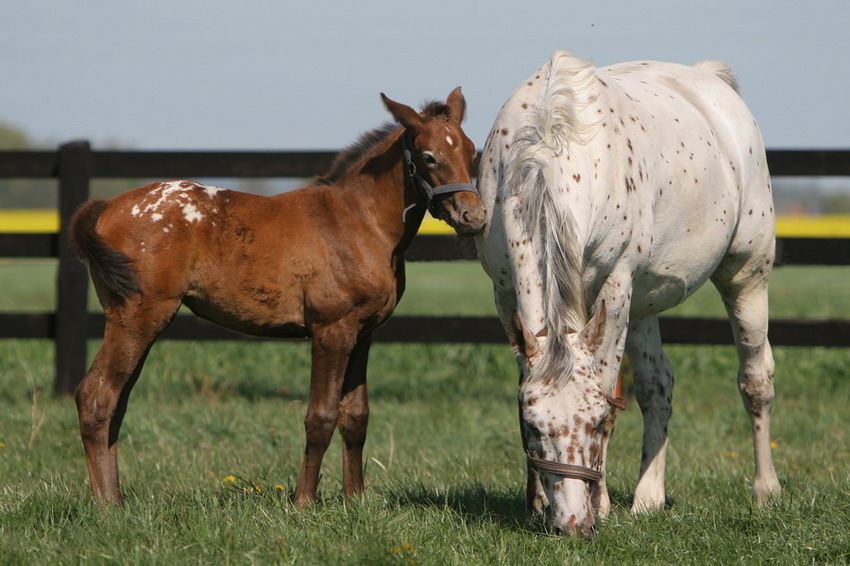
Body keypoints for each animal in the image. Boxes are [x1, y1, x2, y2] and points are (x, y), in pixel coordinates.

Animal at [71, 87, 484, 506]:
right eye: (429, 156)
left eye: (471, 152)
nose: (474, 216)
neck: (358, 222)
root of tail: (107, 206)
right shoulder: (331, 332)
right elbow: (320, 416)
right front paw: (303, 502)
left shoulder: (363, 333)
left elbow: (356, 416)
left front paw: (355, 500)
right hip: (139, 317)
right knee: (96, 396)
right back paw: (107, 505)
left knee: (116, 401)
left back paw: (116, 497)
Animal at [474, 52, 780, 536]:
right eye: (534, 427)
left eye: (597, 422)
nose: (573, 524)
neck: (551, 152)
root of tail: (712, 81)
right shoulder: (505, 293)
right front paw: (537, 502)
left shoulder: (615, 286)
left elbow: (607, 387)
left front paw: (599, 505)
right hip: (643, 304)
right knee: (658, 385)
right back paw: (647, 498)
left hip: (746, 274)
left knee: (756, 379)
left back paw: (766, 490)